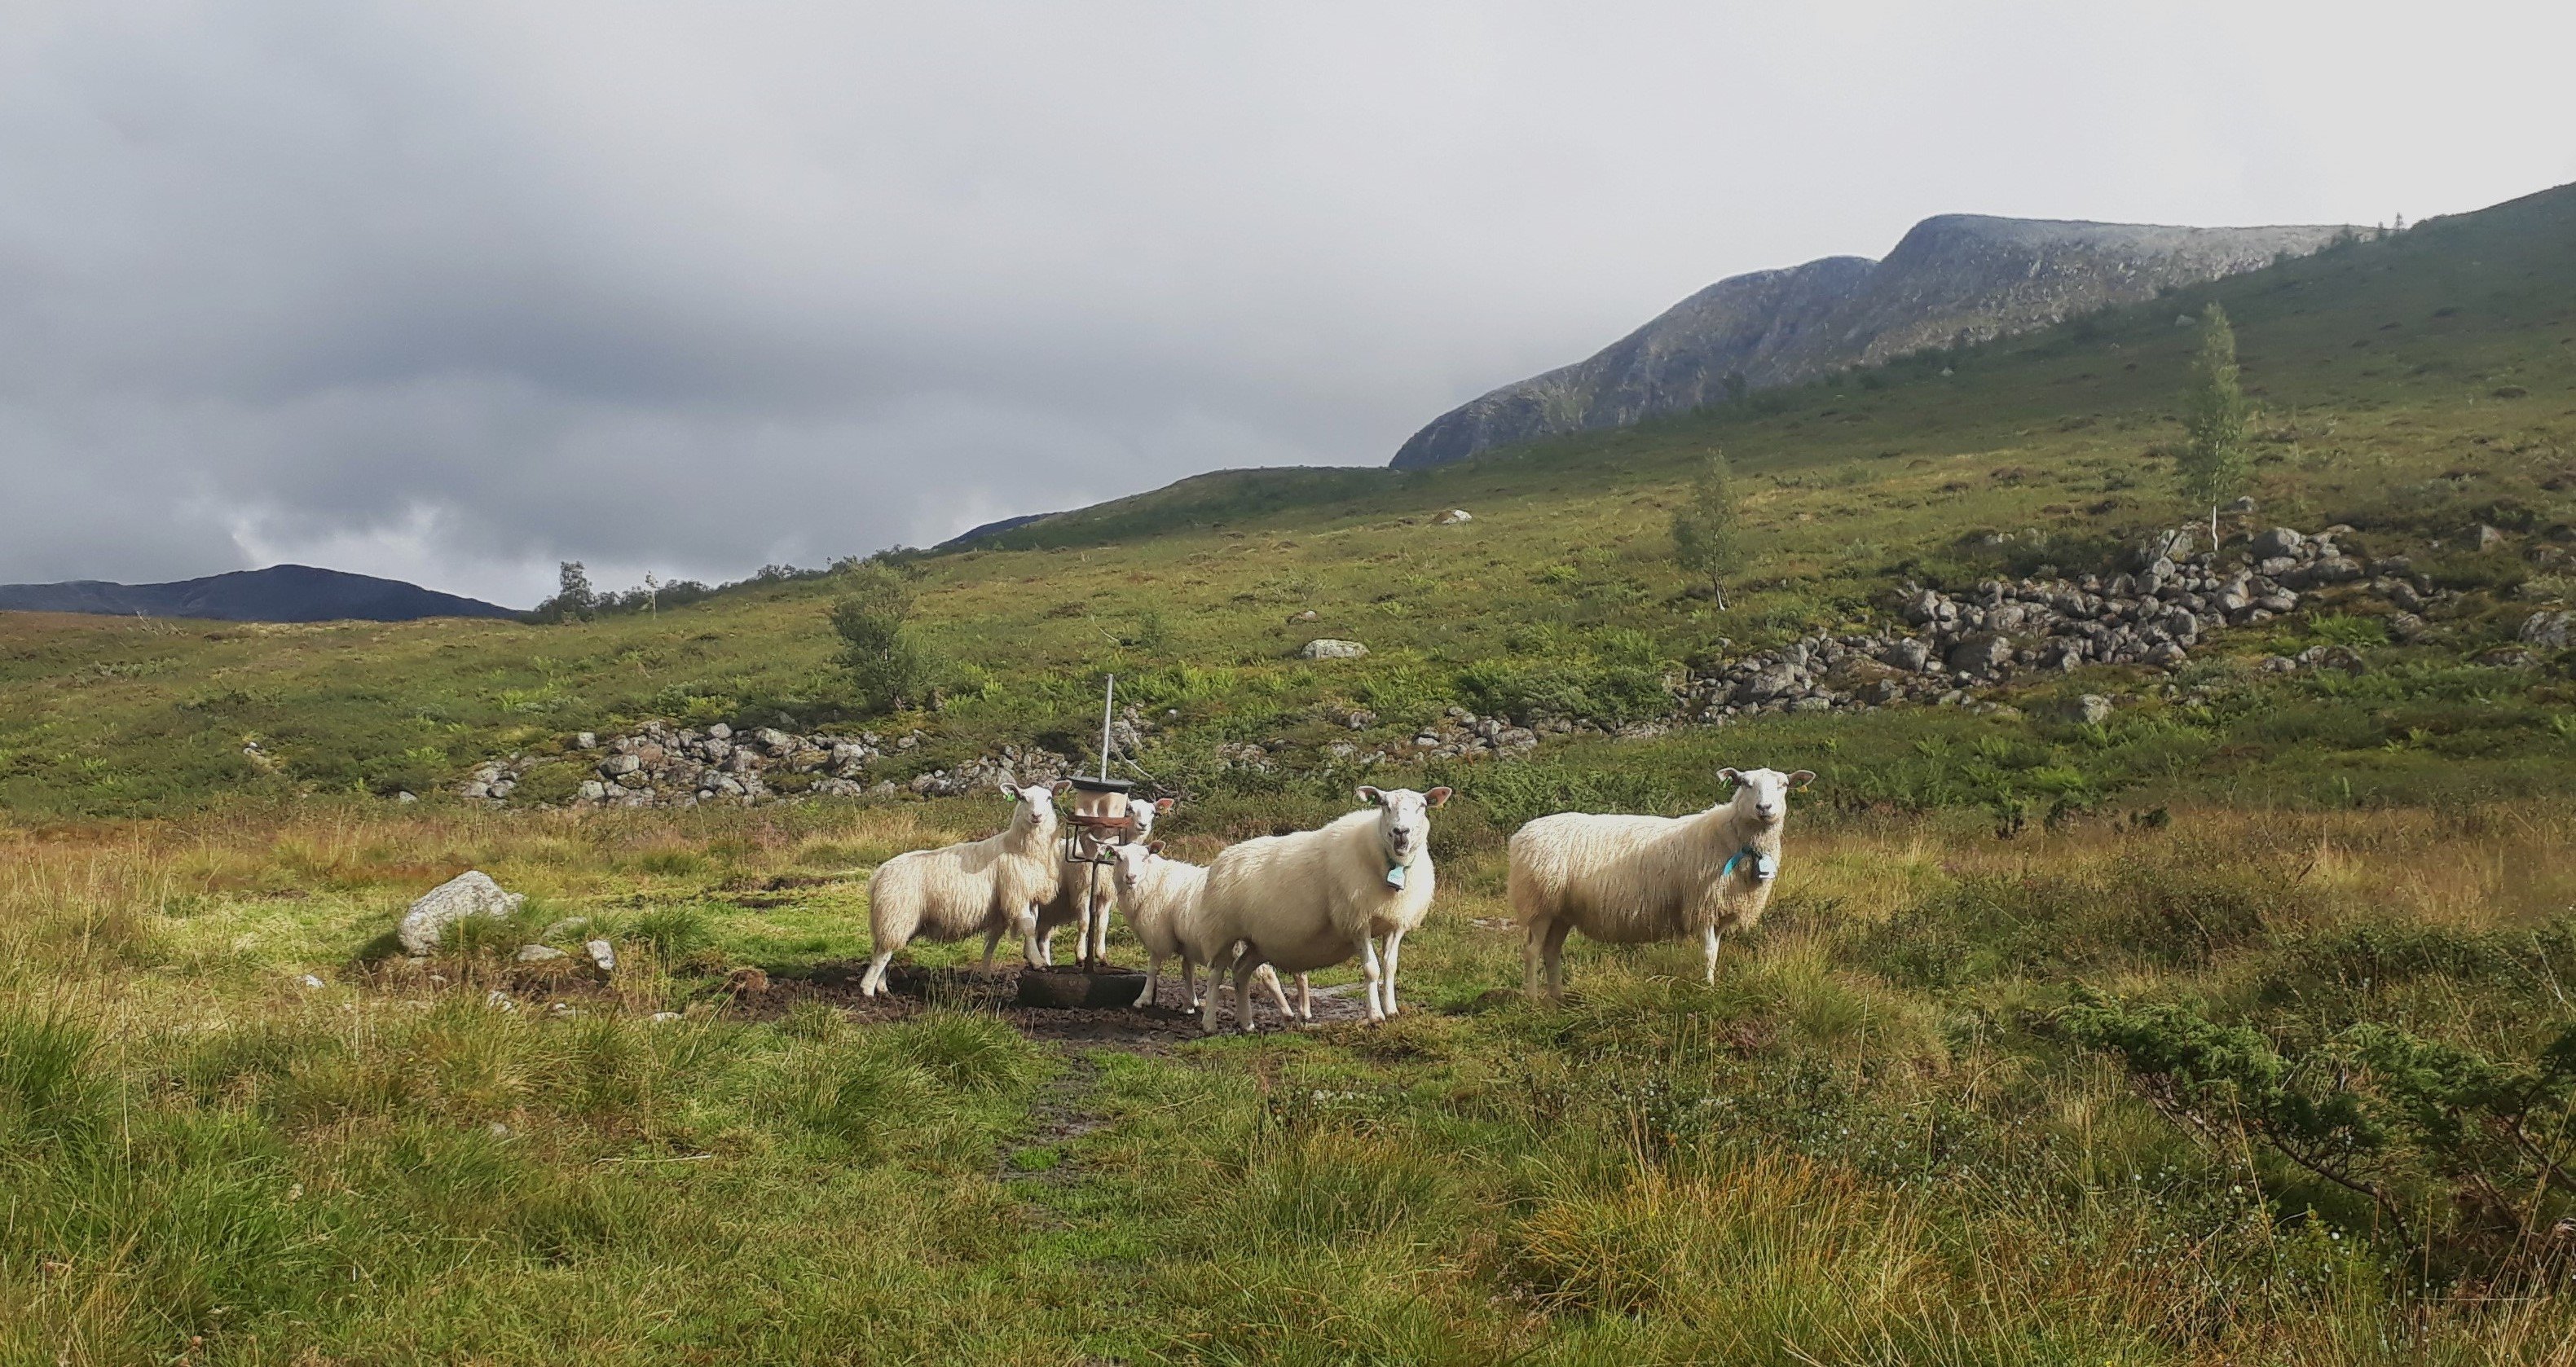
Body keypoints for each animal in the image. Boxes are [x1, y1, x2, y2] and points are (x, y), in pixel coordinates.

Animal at [860, 787, 1071, 999]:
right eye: (1023, 798)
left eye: (1049, 798)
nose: (1037, 816)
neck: (1019, 848)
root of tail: (879, 874)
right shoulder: (1016, 894)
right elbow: (1027, 929)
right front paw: (1038, 962)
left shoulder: (1027, 897)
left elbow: (1004, 938)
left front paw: (990, 975)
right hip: (897, 915)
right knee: (882, 955)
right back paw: (868, 991)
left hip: (892, 919)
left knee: (882, 950)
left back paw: (882, 987)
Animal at [1107, 839, 1308, 1019]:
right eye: (1118, 857)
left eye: (1145, 857)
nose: (1131, 877)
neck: (1153, 881)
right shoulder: (1187, 940)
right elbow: (1187, 970)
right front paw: (1190, 1004)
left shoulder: (1158, 936)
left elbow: (1152, 970)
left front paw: (1143, 1000)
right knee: (1300, 973)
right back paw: (1304, 1013)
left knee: (1268, 975)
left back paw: (1287, 1014)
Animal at [1185, 787, 1452, 1035]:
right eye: (1384, 804)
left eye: (1422, 806)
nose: (1401, 832)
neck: (1389, 862)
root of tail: (1224, 856)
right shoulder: (1357, 920)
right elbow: (1372, 968)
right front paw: (1376, 1016)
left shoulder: (1395, 923)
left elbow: (1389, 967)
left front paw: (1393, 1011)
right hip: (1222, 930)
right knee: (1216, 973)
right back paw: (1209, 1023)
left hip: (1258, 942)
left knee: (1241, 971)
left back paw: (1247, 1023)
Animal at [1504, 767, 1813, 999]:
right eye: (1746, 783)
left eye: (1784, 785)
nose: (1764, 808)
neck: (1734, 839)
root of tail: (1521, 834)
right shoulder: (1701, 905)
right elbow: (1708, 953)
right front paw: (1708, 990)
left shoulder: (1720, 910)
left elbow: (1716, 953)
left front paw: (1711, 984)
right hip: (1538, 903)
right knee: (1532, 951)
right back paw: (1533, 999)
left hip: (1560, 912)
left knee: (1551, 951)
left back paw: (1557, 998)